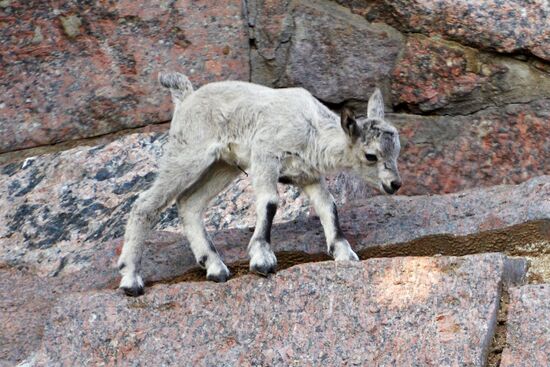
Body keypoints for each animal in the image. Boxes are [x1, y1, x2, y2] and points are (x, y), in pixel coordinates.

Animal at [117, 73, 402, 298]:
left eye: (397, 150)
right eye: (371, 155)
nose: (395, 184)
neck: (312, 131)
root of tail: (185, 98)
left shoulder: (307, 176)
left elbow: (328, 206)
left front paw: (344, 254)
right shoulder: (265, 155)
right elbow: (270, 203)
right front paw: (262, 259)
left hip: (223, 166)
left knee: (189, 203)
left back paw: (215, 268)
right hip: (188, 153)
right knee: (145, 204)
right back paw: (131, 280)